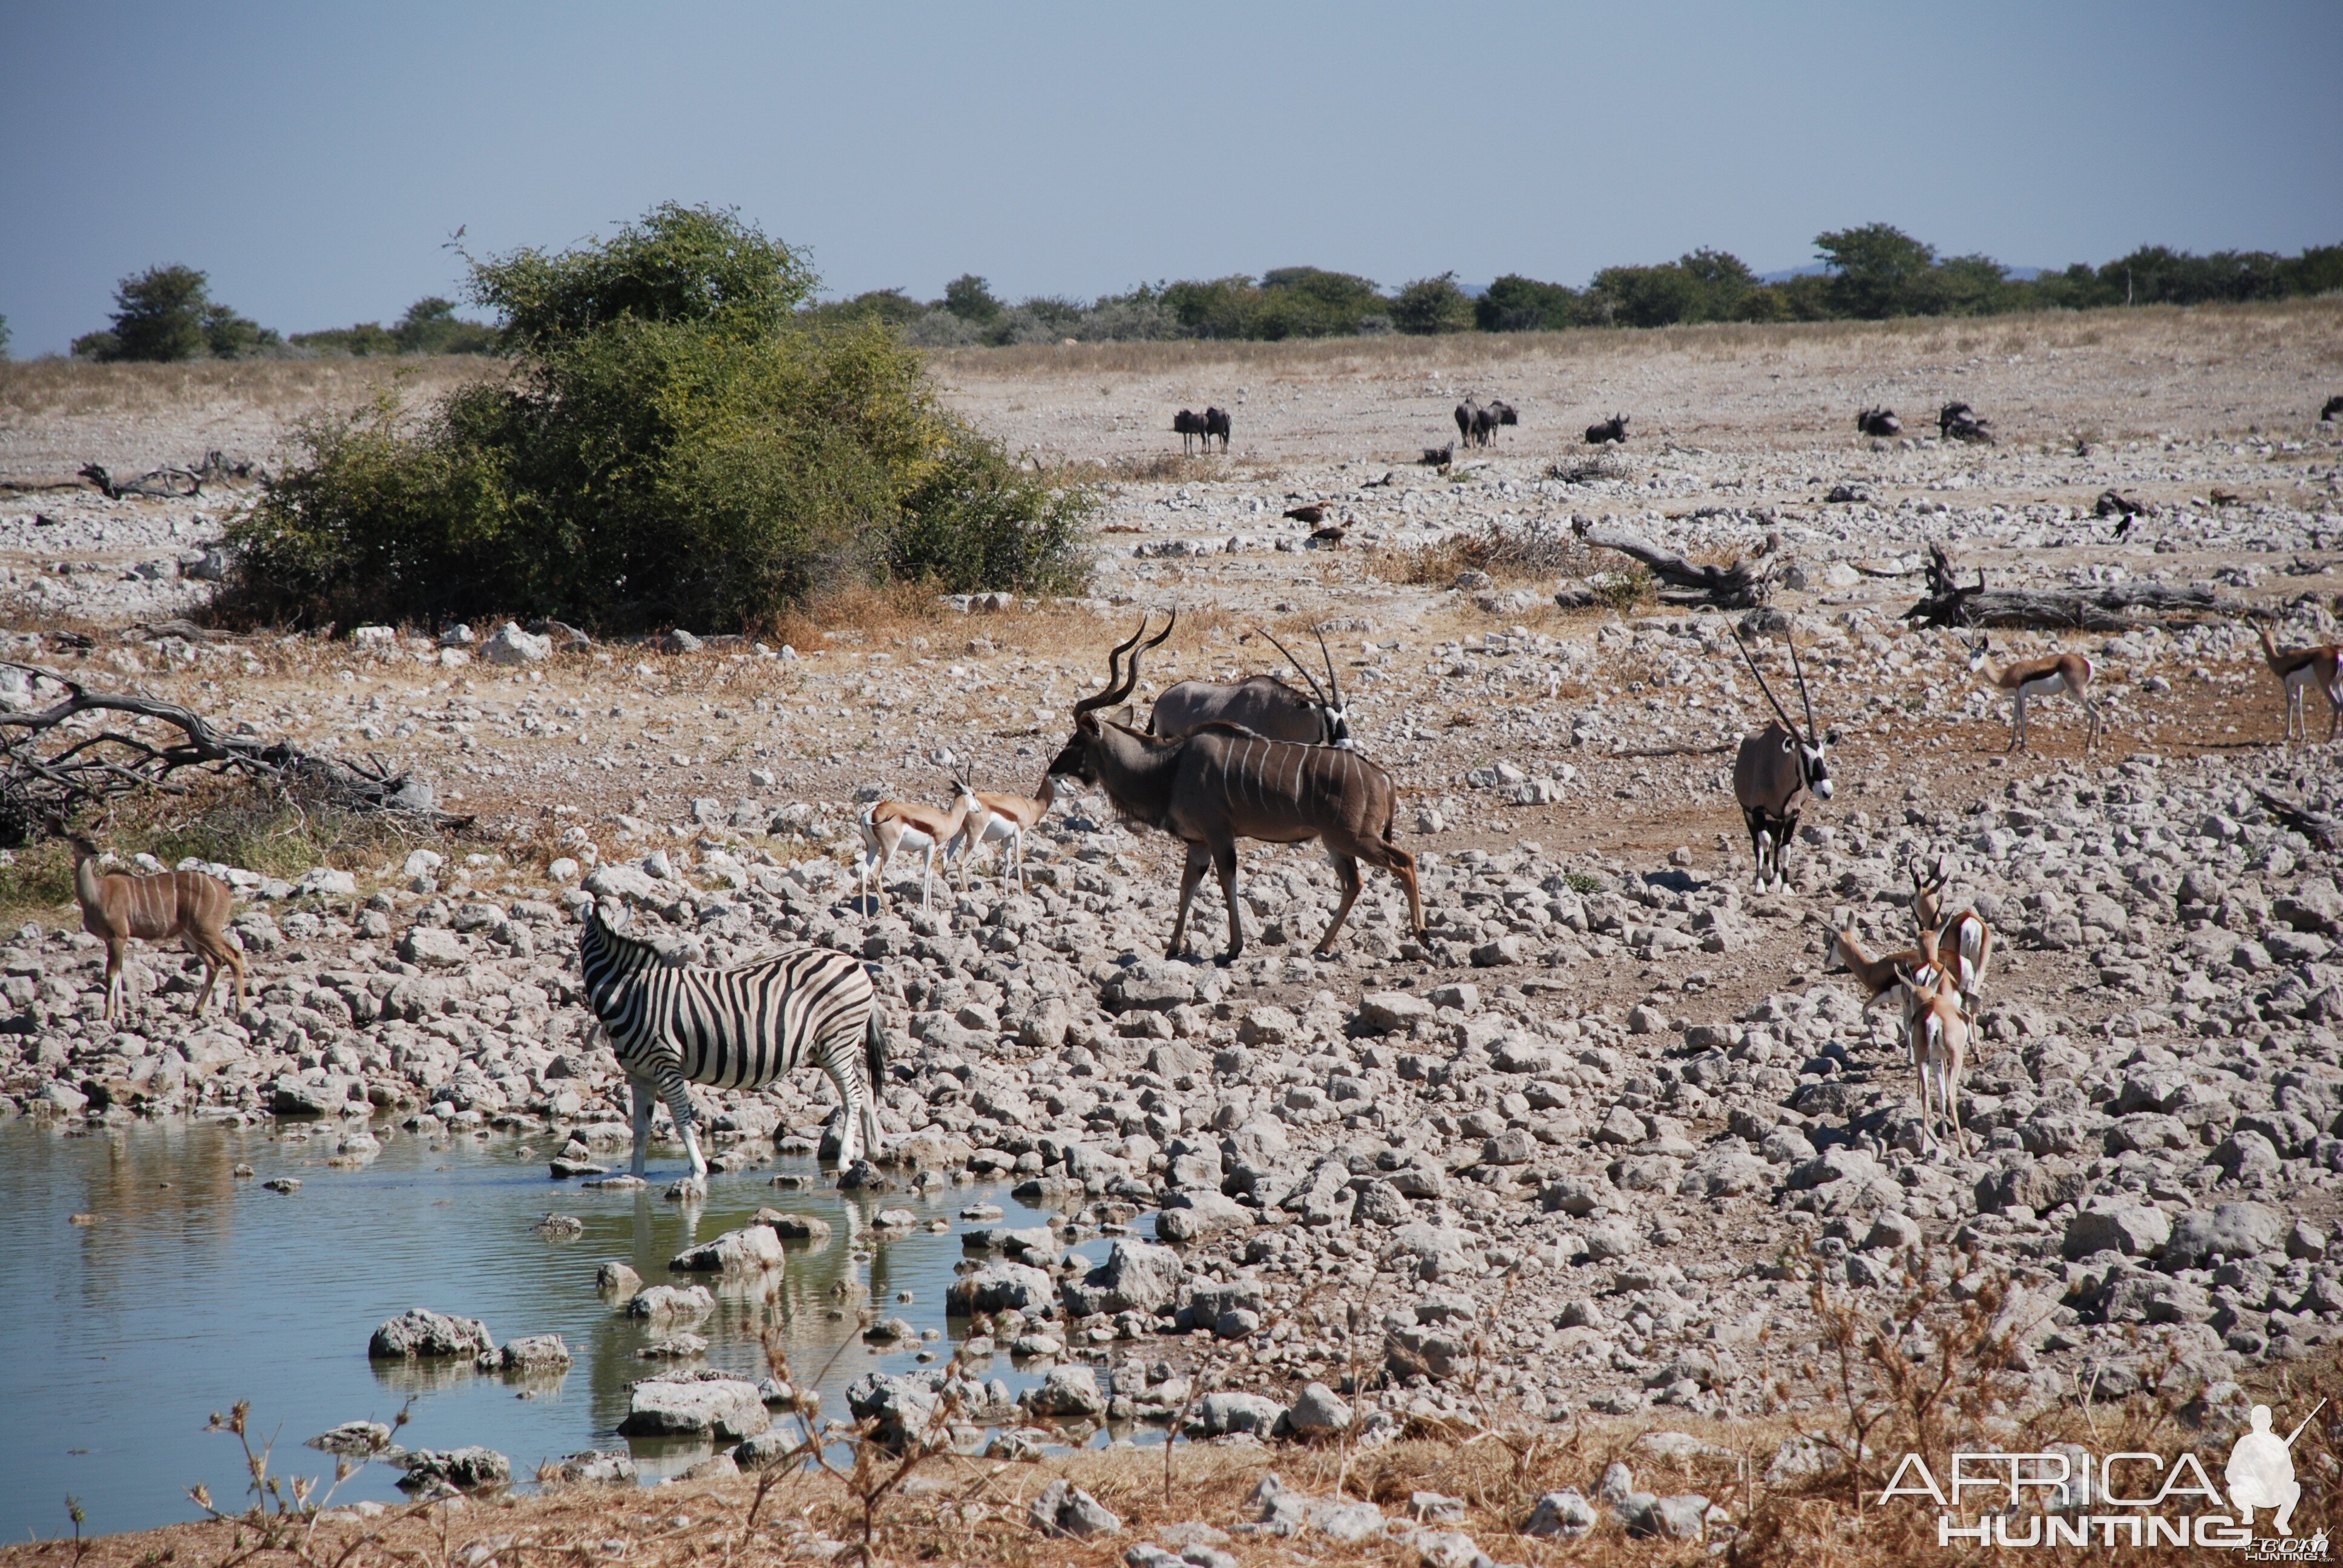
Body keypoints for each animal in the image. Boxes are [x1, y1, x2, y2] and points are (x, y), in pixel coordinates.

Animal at [578, 890, 885, 1186]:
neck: (632, 994)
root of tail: (854, 962)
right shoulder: (639, 1074)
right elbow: (640, 1130)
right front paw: (635, 1176)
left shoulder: (667, 1065)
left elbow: (682, 1120)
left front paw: (698, 1171)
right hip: (828, 1047)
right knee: (865, 1091)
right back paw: (871, 1152)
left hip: (837, 1040)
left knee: (853, 1094)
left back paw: (844, 1158)